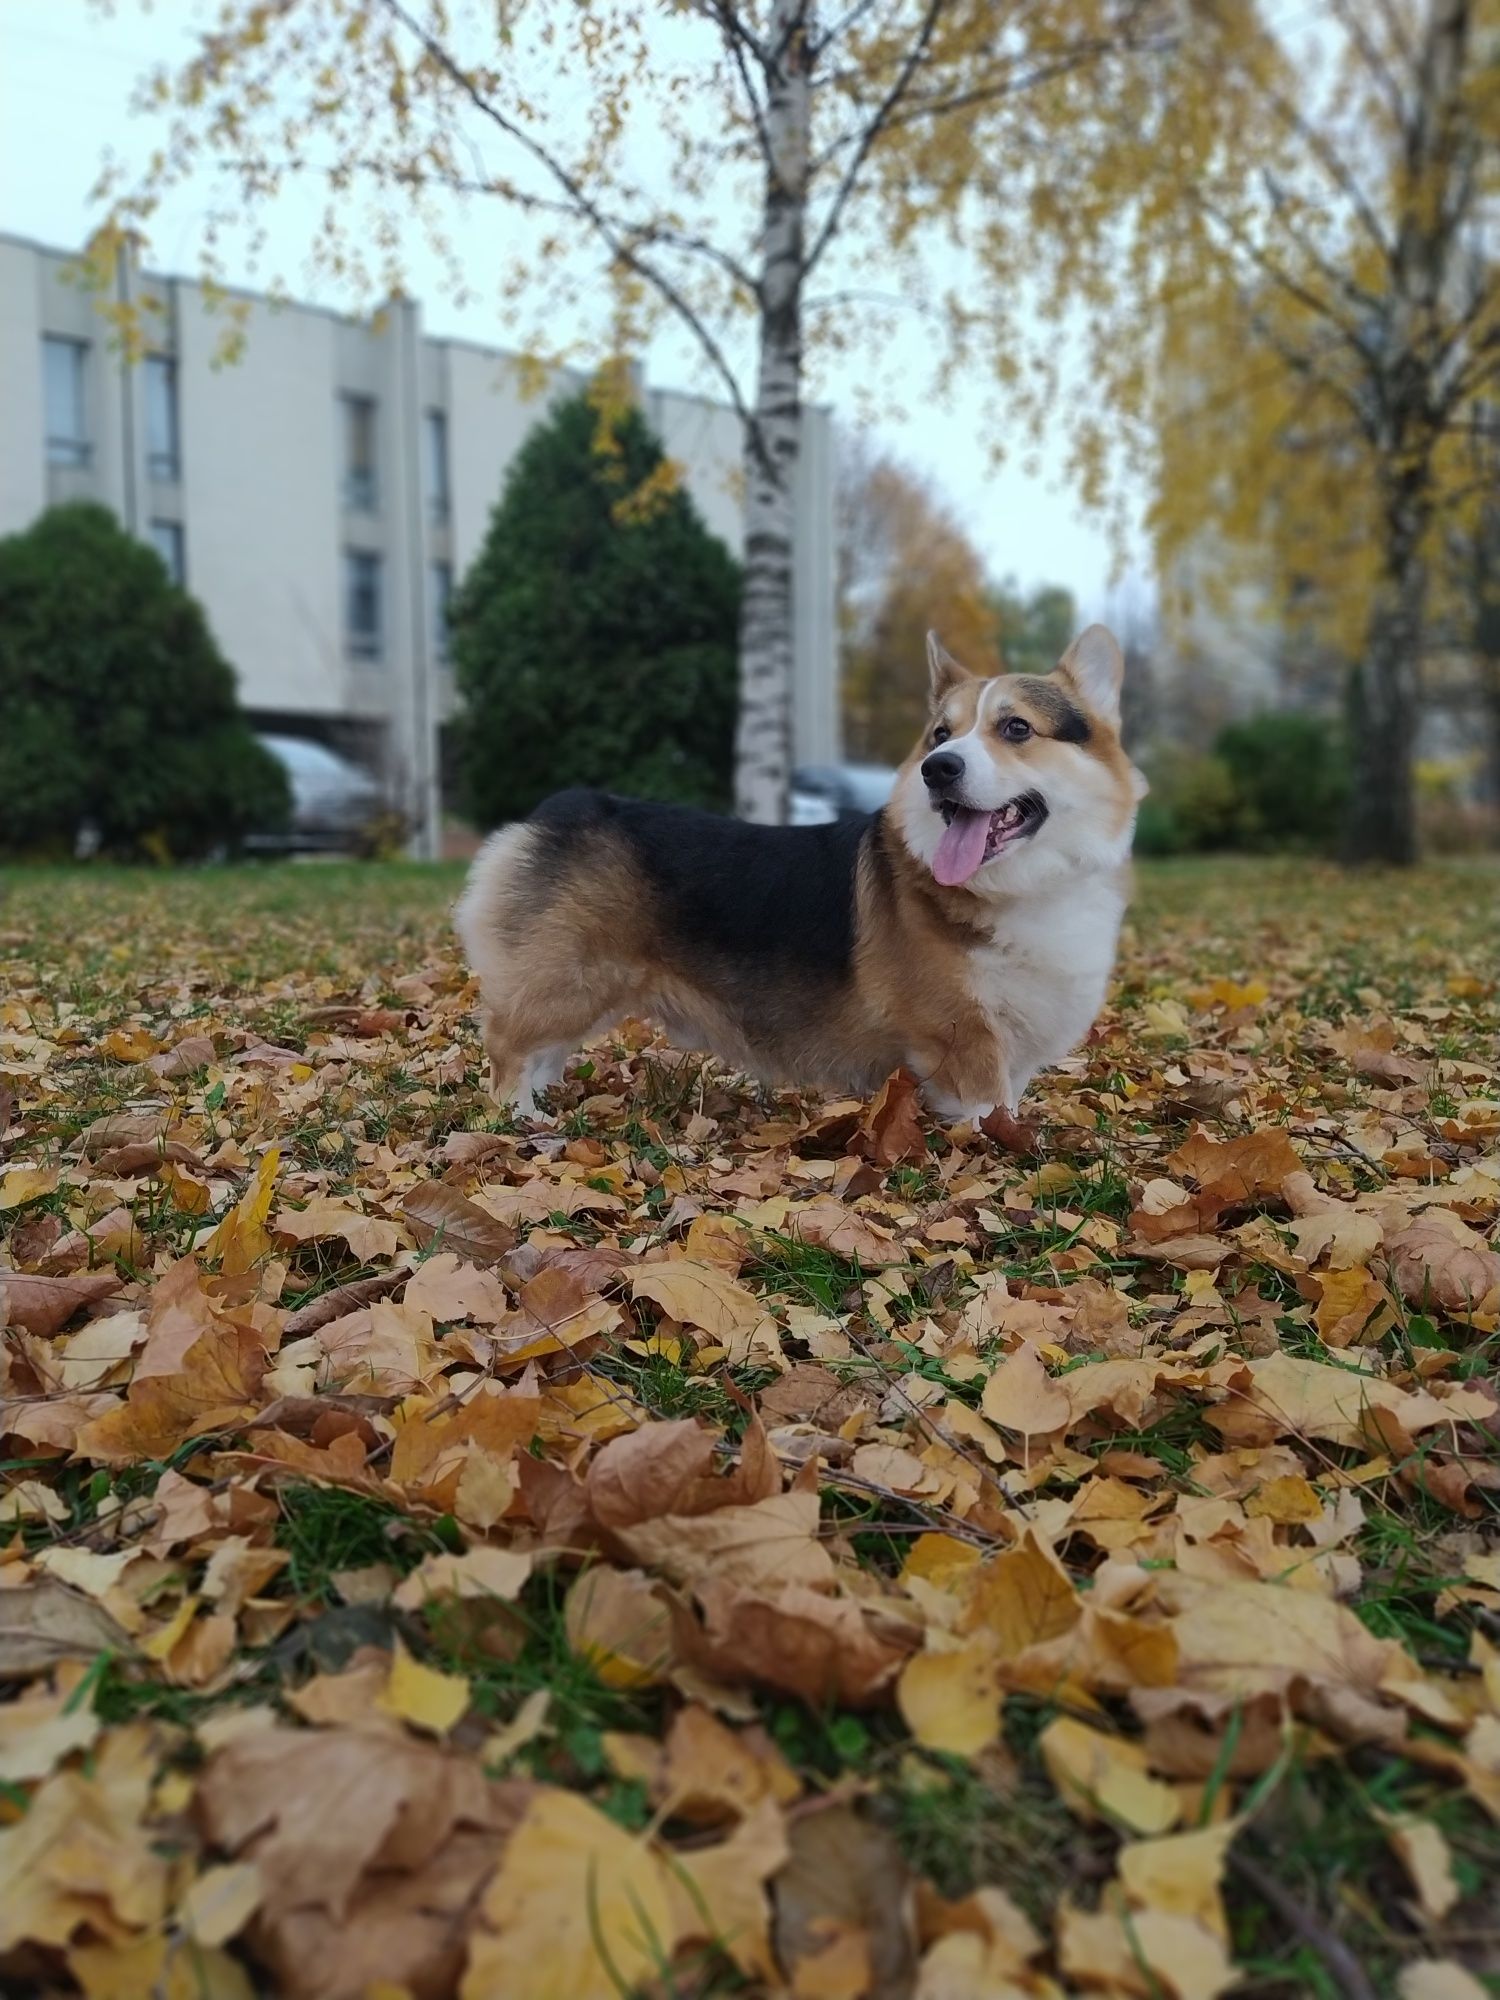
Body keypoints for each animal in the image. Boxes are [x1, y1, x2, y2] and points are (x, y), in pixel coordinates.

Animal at [452, 624, 1144, 1128]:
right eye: (940, 735)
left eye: (1017, 727)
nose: (938, 769)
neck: (1023, 886)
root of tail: (553, 811)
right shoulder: (964, 1040)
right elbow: (988, 1115)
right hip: (567, 983)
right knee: (509, 1047)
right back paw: (519, 1125)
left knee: (539, 1056)